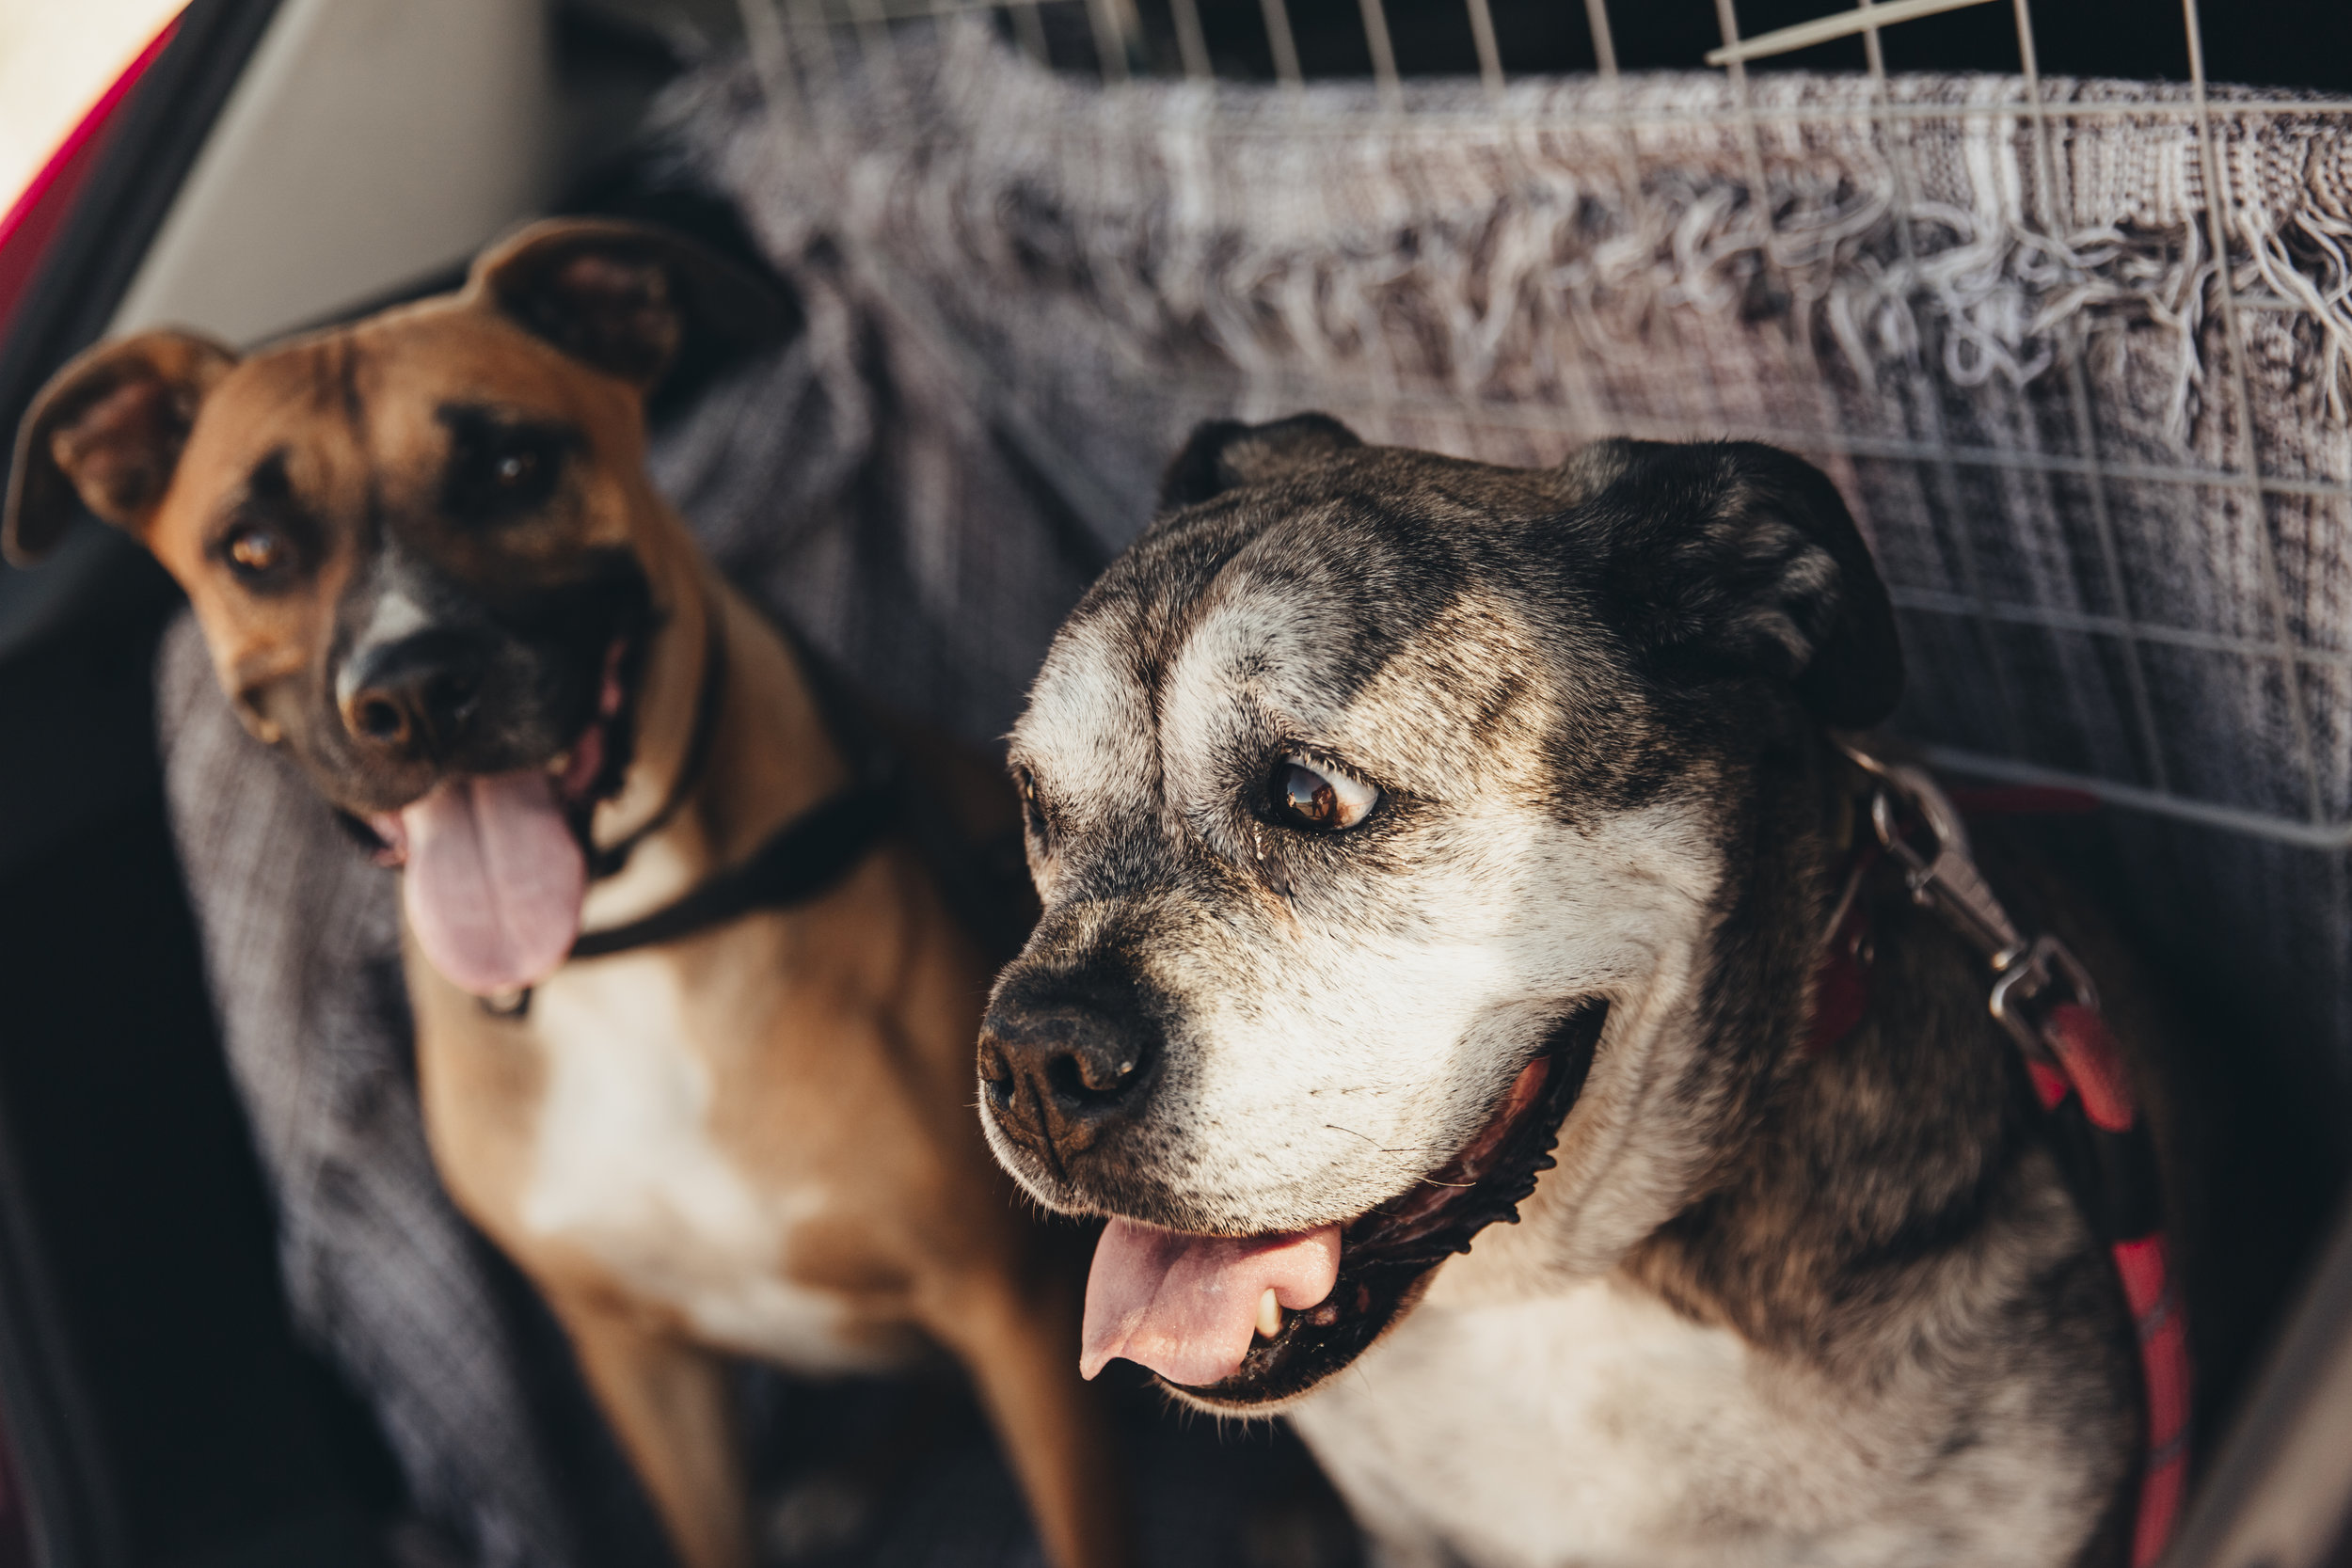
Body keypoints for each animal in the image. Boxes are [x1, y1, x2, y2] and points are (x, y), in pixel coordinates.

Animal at [2, 217, 1120, 1568]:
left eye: (512, 465)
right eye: (253, 549)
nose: (411, 688)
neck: (626, 948)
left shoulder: (1012, 1311)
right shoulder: (639, 1360)